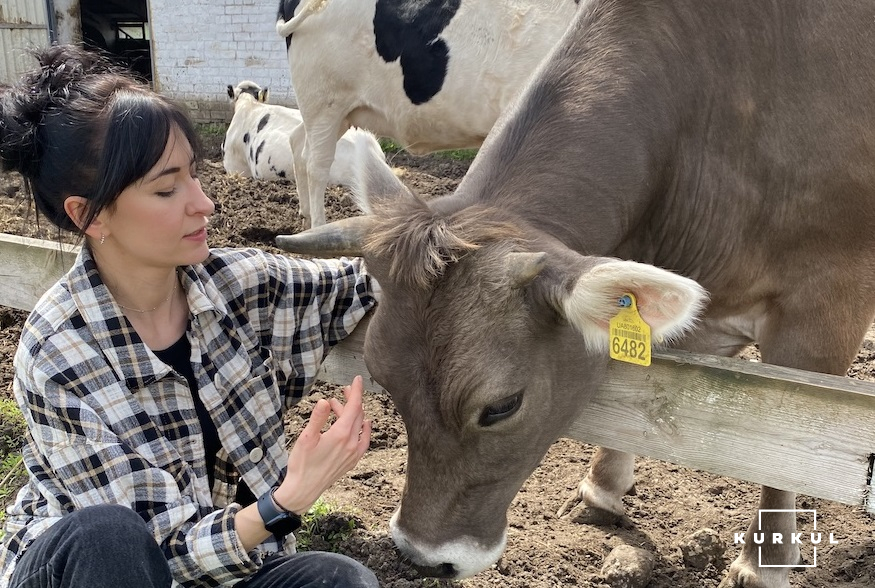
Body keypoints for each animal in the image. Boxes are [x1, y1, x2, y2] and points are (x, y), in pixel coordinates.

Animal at [278, 0, 580, 227]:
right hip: (324, 100)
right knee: (317, 164)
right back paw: (318, 226)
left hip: (335, 110)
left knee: (298, 143)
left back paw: (305, 218)